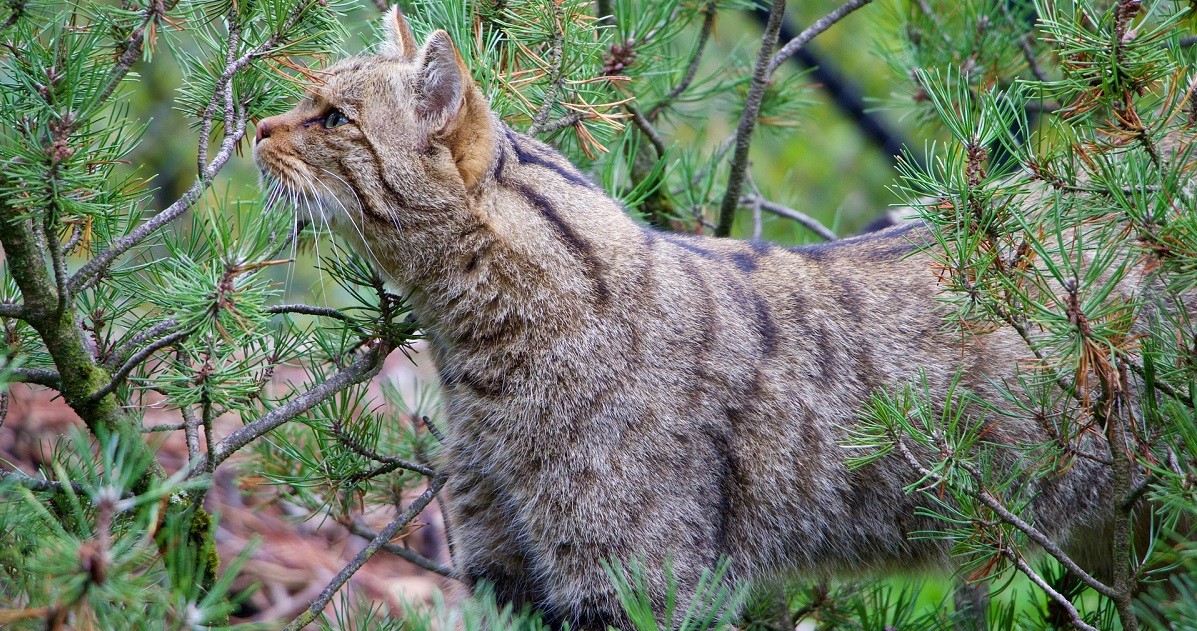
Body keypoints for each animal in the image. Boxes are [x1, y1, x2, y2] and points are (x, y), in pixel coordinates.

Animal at [252, 7, 1177, 627]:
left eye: (332, 117)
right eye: (304, 101)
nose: (256, 125)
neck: (471, 357)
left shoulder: (632, 579)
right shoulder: (501, 574)